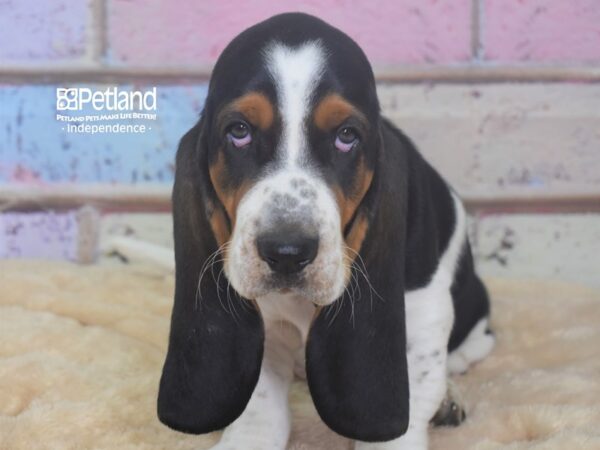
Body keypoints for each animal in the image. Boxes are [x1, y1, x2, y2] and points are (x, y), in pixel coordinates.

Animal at [157, 12, 494, 448]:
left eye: (347, 136)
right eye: (239, 131)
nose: (286, 253)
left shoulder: (424, 312)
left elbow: (412, 396)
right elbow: (260, 406)